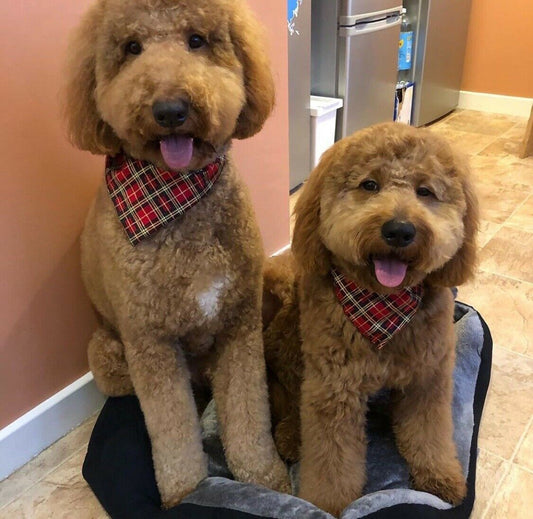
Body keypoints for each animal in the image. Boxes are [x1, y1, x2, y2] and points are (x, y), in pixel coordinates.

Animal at [64, 0, 288, 508]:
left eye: (197, 40)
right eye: (131, 47)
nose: (170, 110)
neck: (178, 200)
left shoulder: (239, 324)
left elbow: (249, 413)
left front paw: (264, 478)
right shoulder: (152, 344)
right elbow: (171, 428)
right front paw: (186, 493)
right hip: (108, 355)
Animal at [264, 122, 476, 516]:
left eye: (425, 191)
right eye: (369, 185)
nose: (400, 230)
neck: (382, 308)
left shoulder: (428, 378)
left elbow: (430, 433)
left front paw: (440, 478)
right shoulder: (333, 389)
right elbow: (331, 459)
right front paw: (326, 505)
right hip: (293, 353)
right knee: (291, 399)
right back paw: (289, 436)